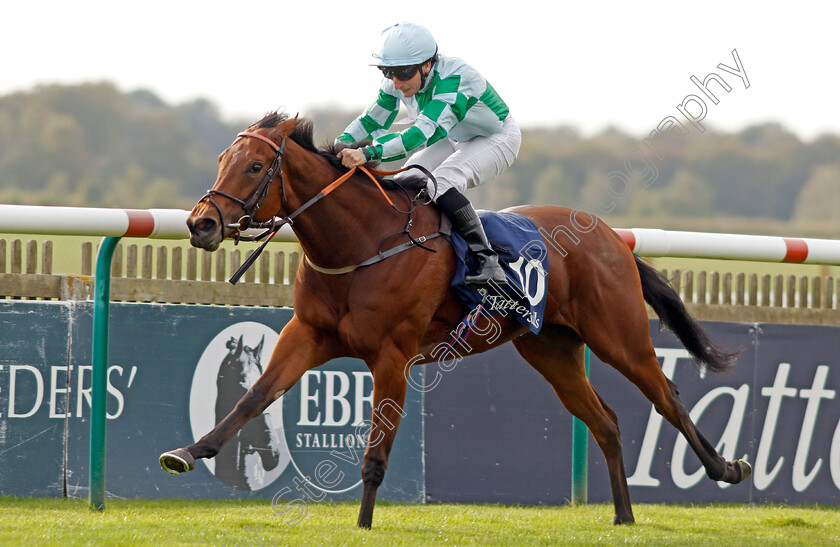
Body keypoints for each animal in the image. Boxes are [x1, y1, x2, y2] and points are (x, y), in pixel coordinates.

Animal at [161, 110, 752, 528]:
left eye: (256, 166)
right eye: (223, 159)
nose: (200, 224)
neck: (363, 242)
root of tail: (612, 237)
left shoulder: (393, 356)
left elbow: (376, 451)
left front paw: (363, 524)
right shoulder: (307, 336)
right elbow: (253, 398)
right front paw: (188, 452)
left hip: (619, 337)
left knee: (667, 396)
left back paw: (725, 468)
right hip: (551, 350)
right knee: (605, 421)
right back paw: (624, 515)